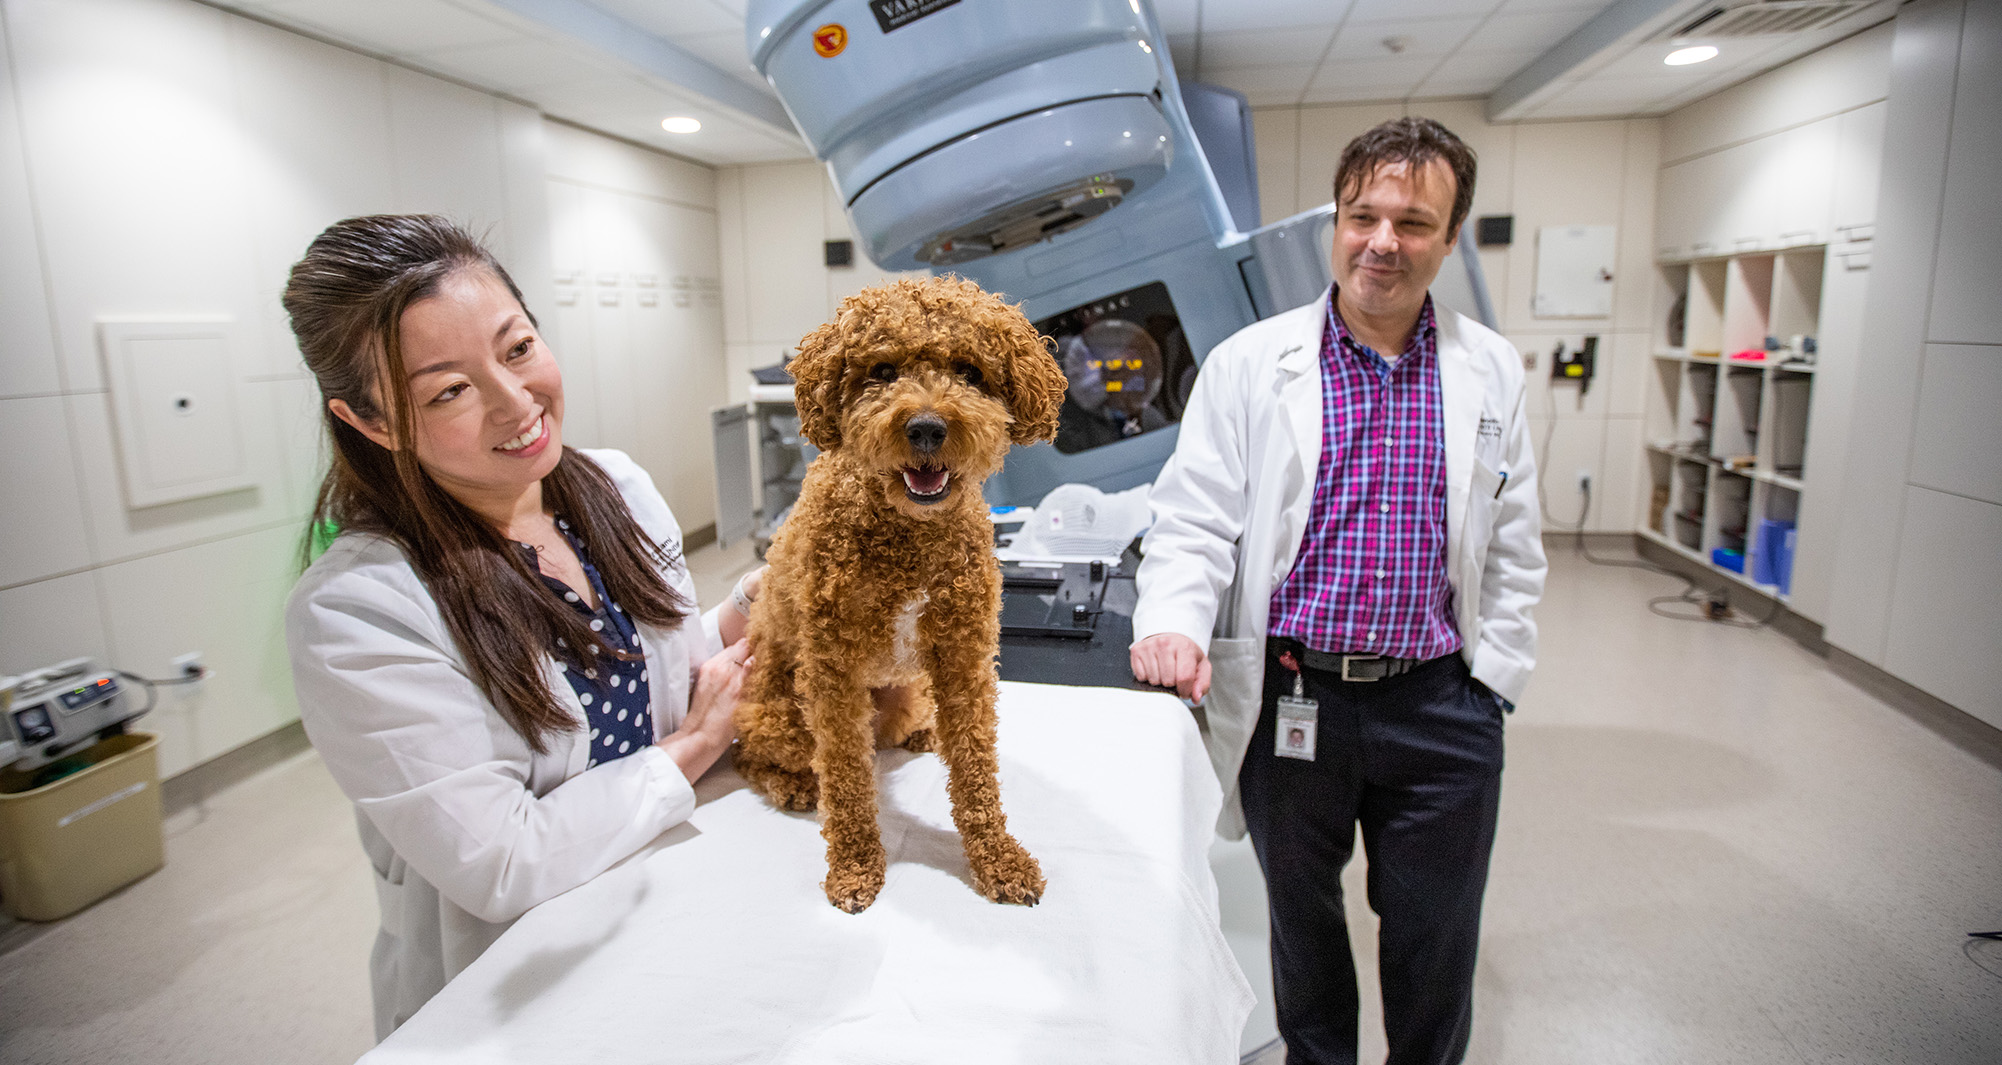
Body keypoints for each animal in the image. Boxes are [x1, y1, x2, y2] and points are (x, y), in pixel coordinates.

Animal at [736, 274, 1073, 916]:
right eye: (883, 370)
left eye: (969, 371)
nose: (926, 428)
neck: (908, 533)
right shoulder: (832, 673)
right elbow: (846, 778)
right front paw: (854, 867)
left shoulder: (965, 657)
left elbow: (975, 766)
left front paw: (998, 858)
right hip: (776, 717)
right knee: (757, 759)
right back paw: (795, 786)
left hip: (907, 695)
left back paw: (921, 734)